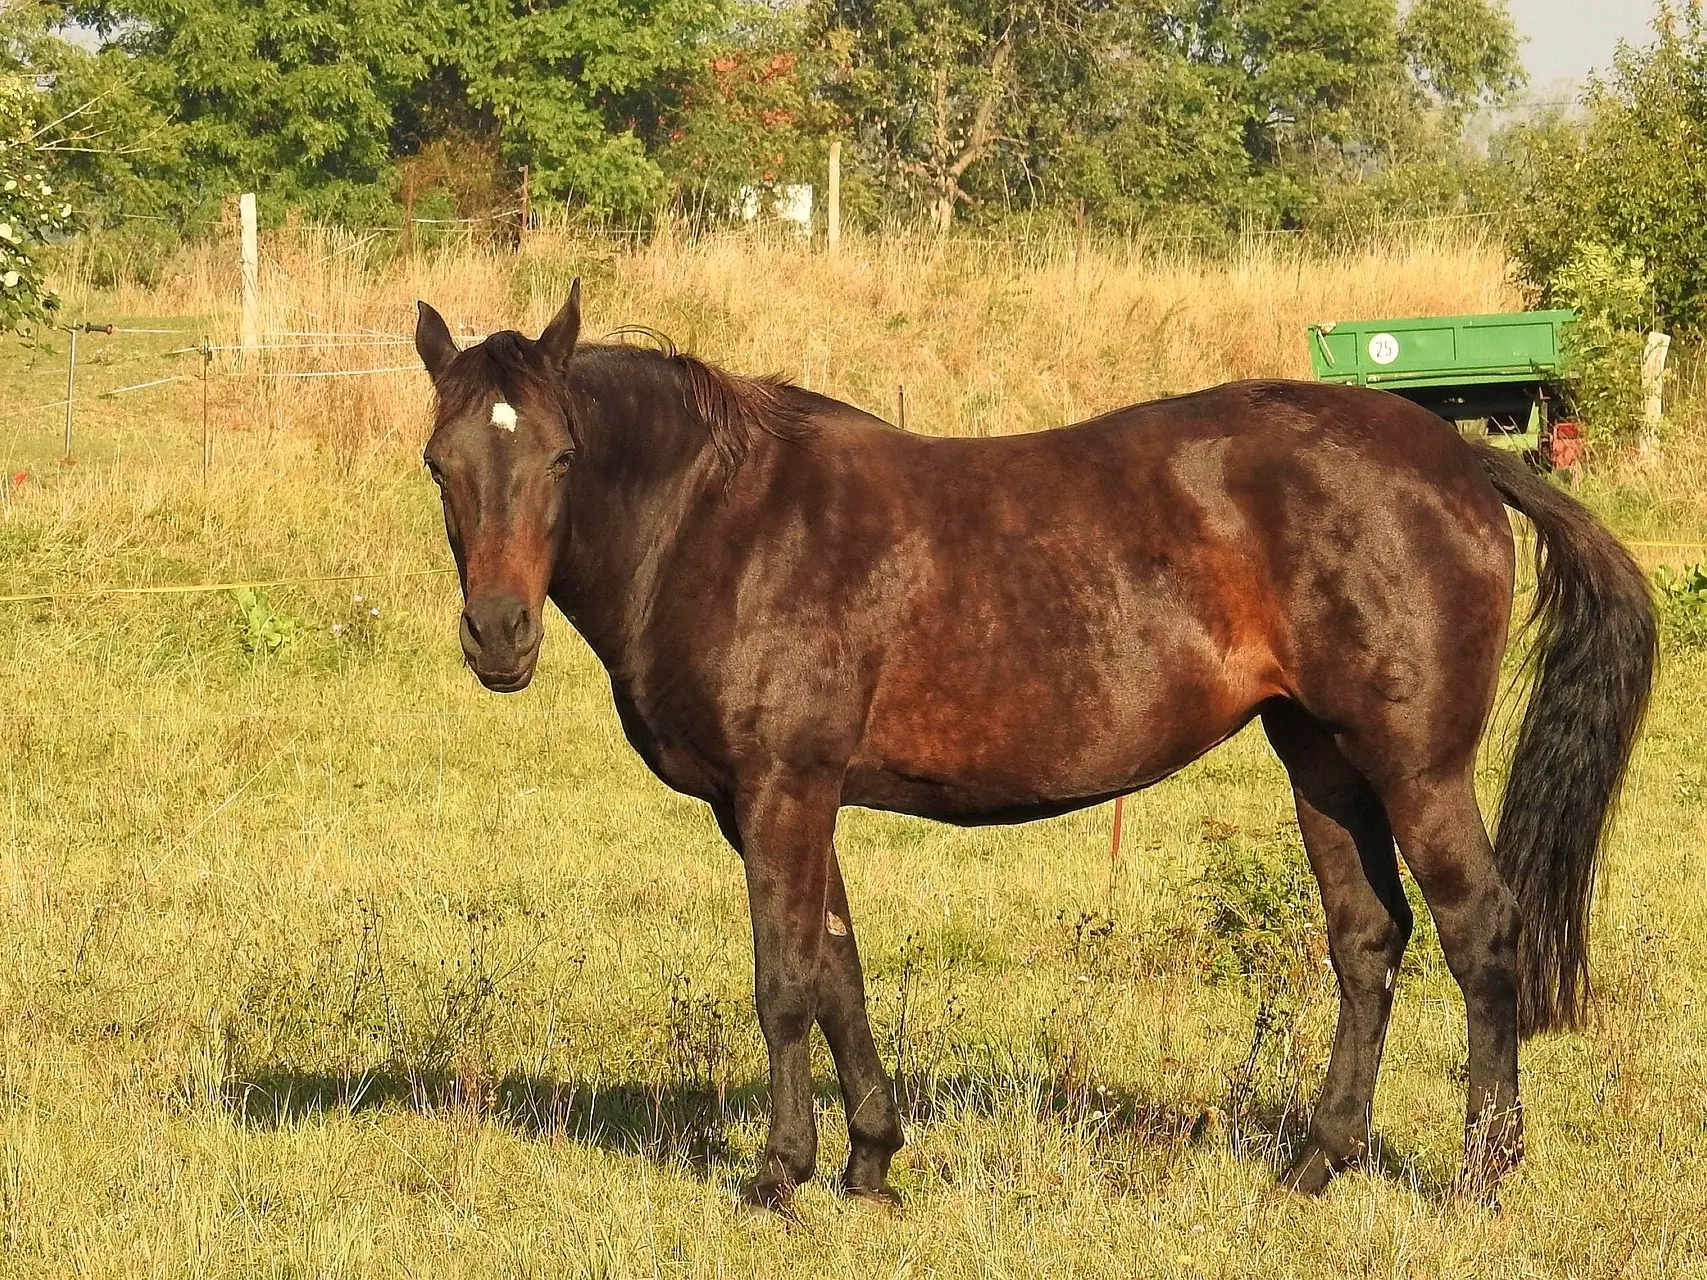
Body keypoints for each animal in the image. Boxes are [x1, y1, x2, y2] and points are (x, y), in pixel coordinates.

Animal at [409, 283, 1652, 1215]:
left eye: (563, 456)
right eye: (439, 462)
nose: (498, 634)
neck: (725, 520)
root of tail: (1456, 456)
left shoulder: (781, 791)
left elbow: (784, 980)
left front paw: (779, 1172)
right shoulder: (795, 800)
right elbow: (840, 969)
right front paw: (871, 1160)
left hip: (1414, 765)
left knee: (1479, 934)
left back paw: (1482, 1173)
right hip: (1324, 762)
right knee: (1367, 939)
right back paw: (1314, 1162)